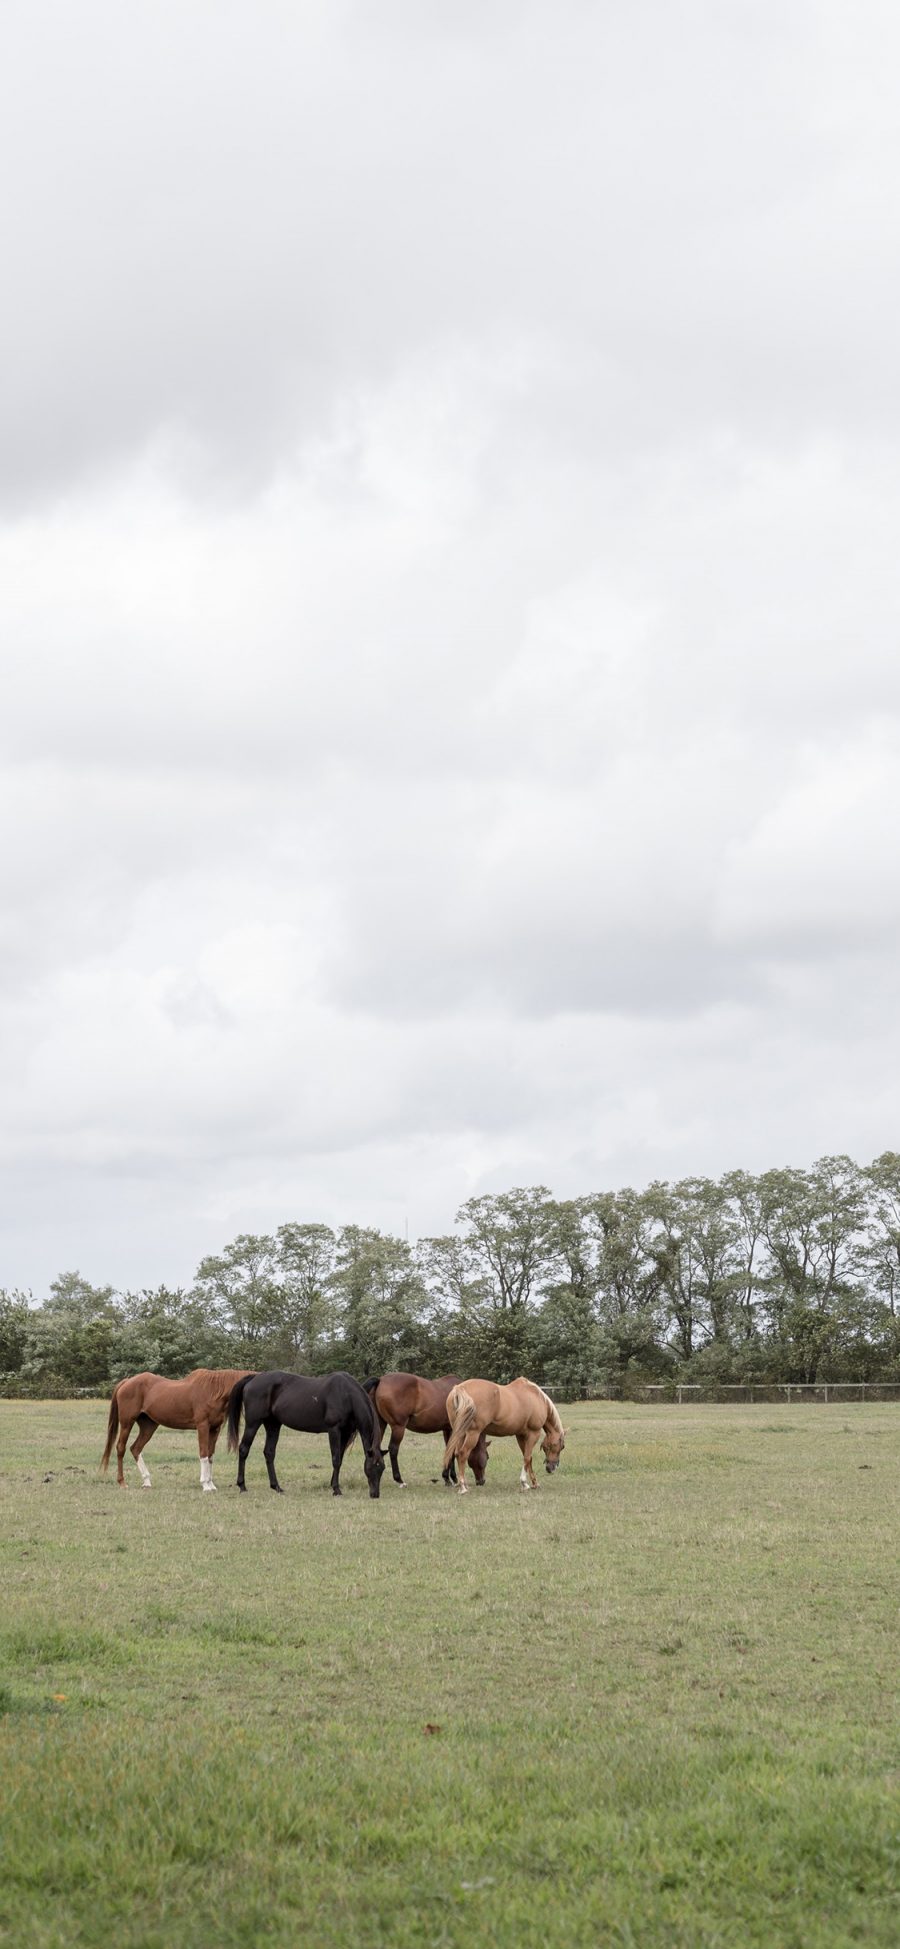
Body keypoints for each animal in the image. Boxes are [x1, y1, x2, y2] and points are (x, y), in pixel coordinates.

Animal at [100, 1372, 255, 1489]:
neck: (213, 1390)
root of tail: (127, 1382)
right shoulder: (202, 1426)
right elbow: (204, 1453)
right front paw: (205, 1485)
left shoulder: (214, 1429)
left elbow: (210, 1455)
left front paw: (211, 1484)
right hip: (127, 1423)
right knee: (121, 1448)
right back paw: (122, 1482)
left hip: (148, 1426)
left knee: (136, 1448)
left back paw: (147, 1481)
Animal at [226, 1364, 385, 1496]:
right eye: (372, 1467)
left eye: (382, 1468)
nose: (375, 1494)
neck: (346, 1395)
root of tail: (254, 1378)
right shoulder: (334, 1430)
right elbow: (336, 1459)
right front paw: (336, 1489)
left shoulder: (345, 1433)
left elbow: (340, 1458)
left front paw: (333, 1484)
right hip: (253, 1424)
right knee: (243, 1449)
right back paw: (242, 1486)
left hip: (273, 1425)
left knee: (269, 1453)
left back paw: (276, 1487)